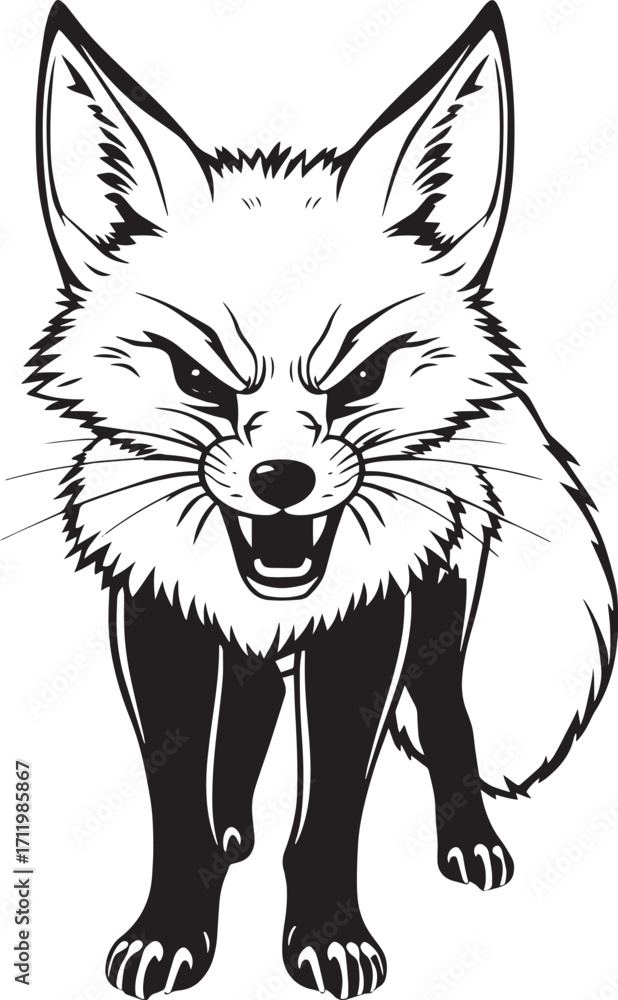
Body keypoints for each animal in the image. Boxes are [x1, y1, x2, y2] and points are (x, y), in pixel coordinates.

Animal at [27, 1, 616, 997]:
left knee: (448, 714)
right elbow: (176, 803)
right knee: (255, 697)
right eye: (197, 378)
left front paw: (328, 936)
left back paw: (467, 839)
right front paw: (175, 926)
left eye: (363, 376)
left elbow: (331, 811)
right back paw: (234, 825)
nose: (282, 481)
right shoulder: (157, 615)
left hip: (439, 606)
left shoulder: (367, 621)